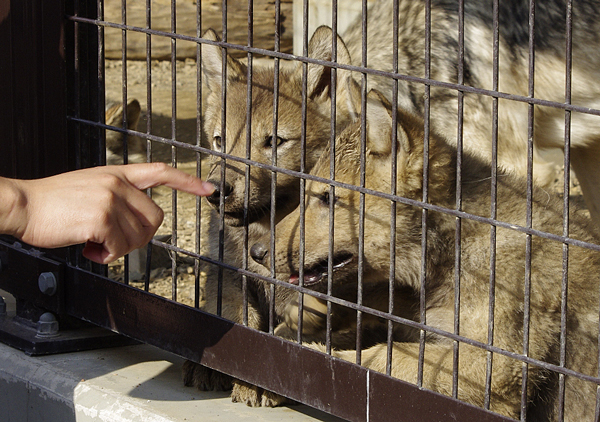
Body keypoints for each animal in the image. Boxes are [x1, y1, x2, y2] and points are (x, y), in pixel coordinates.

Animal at [251, 90, 600, 420]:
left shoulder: (490, 366)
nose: (256, 252)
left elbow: (382, 358)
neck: (458, 246)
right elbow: (381, 305)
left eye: (327, 198)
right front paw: (308, 316)